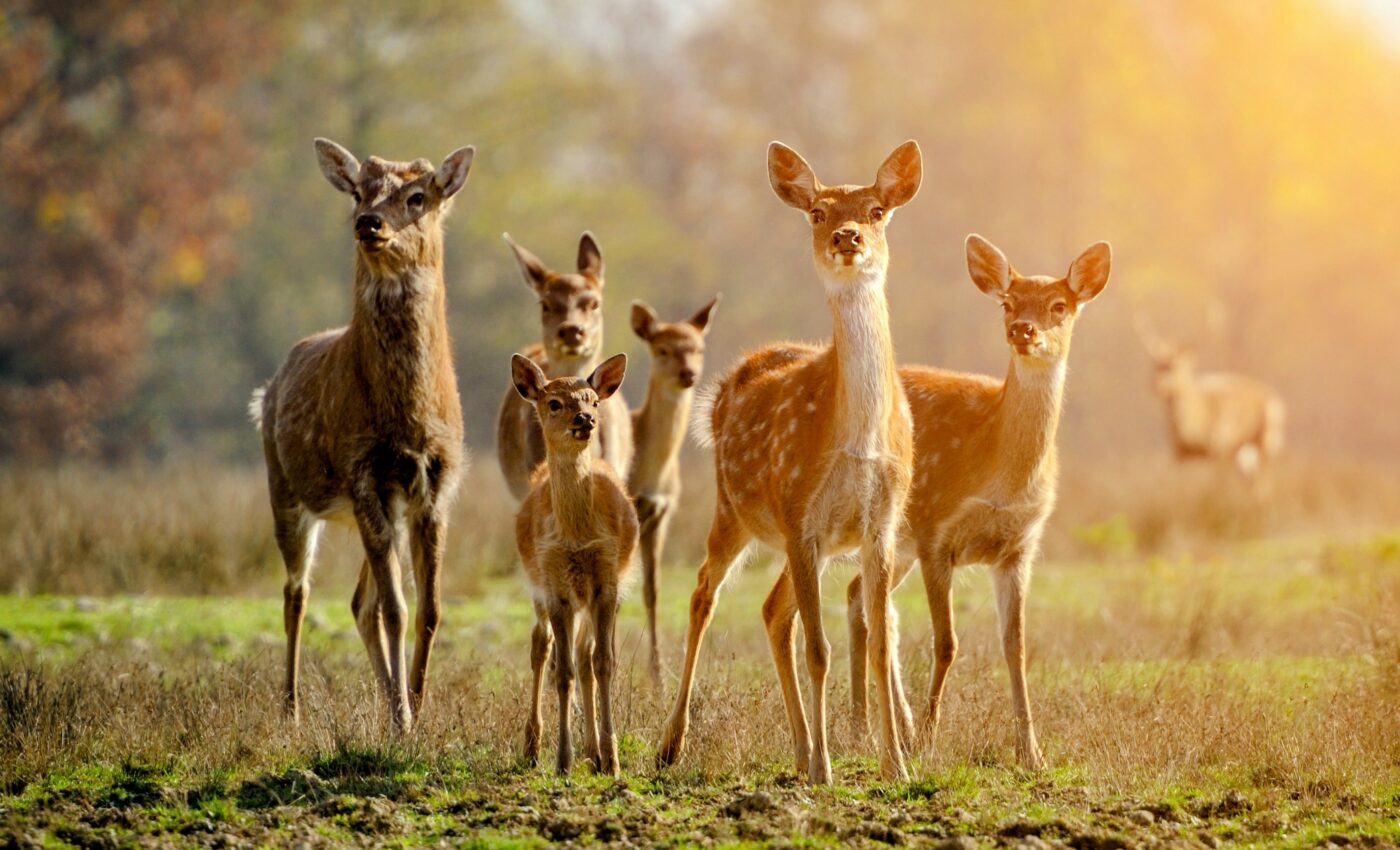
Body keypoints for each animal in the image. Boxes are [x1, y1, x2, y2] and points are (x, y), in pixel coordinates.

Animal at [249, 137, 473, 734]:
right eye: (357, 192)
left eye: (419, 197)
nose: (369, 222)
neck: (410, 421)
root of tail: (269, 387)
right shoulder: (363, 471)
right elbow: (397, 608)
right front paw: (403, 719)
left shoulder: (436, 487)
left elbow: (429, 608)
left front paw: (414, 705)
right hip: (286, 487)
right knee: (297, 593)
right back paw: (291, 707)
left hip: (375, 510)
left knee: (357, 603)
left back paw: (384, 695)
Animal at [512, 352, 639, 776]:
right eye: (554, 403)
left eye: (593, 400)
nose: (585, 419)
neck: (577, 536)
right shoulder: (556, 586)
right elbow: (562, 671)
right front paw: (562, 762)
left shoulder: (607, 581)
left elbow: (604, 663)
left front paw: (612, 760)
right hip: (538, 587)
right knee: (541, 647)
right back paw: (532, 747)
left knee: (585, 657)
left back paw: (593, 753)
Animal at [656, 140, 923, 784]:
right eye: (817, 212)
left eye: (877, 210)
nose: (848, 237)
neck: (857, 439)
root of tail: (726, 381)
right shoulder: (800, 510)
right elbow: (820, 649)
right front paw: (828, 768)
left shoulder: (878, 524)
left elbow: (879, 642)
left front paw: (896, 766)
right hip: (735, 509)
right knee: (703, 595)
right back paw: (671, 744)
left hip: (797, 538)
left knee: (773, 610)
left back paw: (800, 750)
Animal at [845, 235, 1112, 771]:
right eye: (1007, 303)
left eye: (1060, 305)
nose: (1022, 329)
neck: (1000, 476)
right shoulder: (935, 533)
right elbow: (947, 643)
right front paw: (930, 741)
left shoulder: (1018, 549)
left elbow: (1017, 647)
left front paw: (1032, 752)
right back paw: (876, 730)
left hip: (896, 546)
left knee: (858, 599)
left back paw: (881, 728)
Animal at [1135, 319, 1285, 487]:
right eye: (1154, 363)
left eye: (1174, 365)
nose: (1156, 385)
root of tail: (1274, 399)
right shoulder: (1179, 453)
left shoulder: (1219, 448)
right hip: (1244, 452)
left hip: (1265, 443)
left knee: (1262, 481)